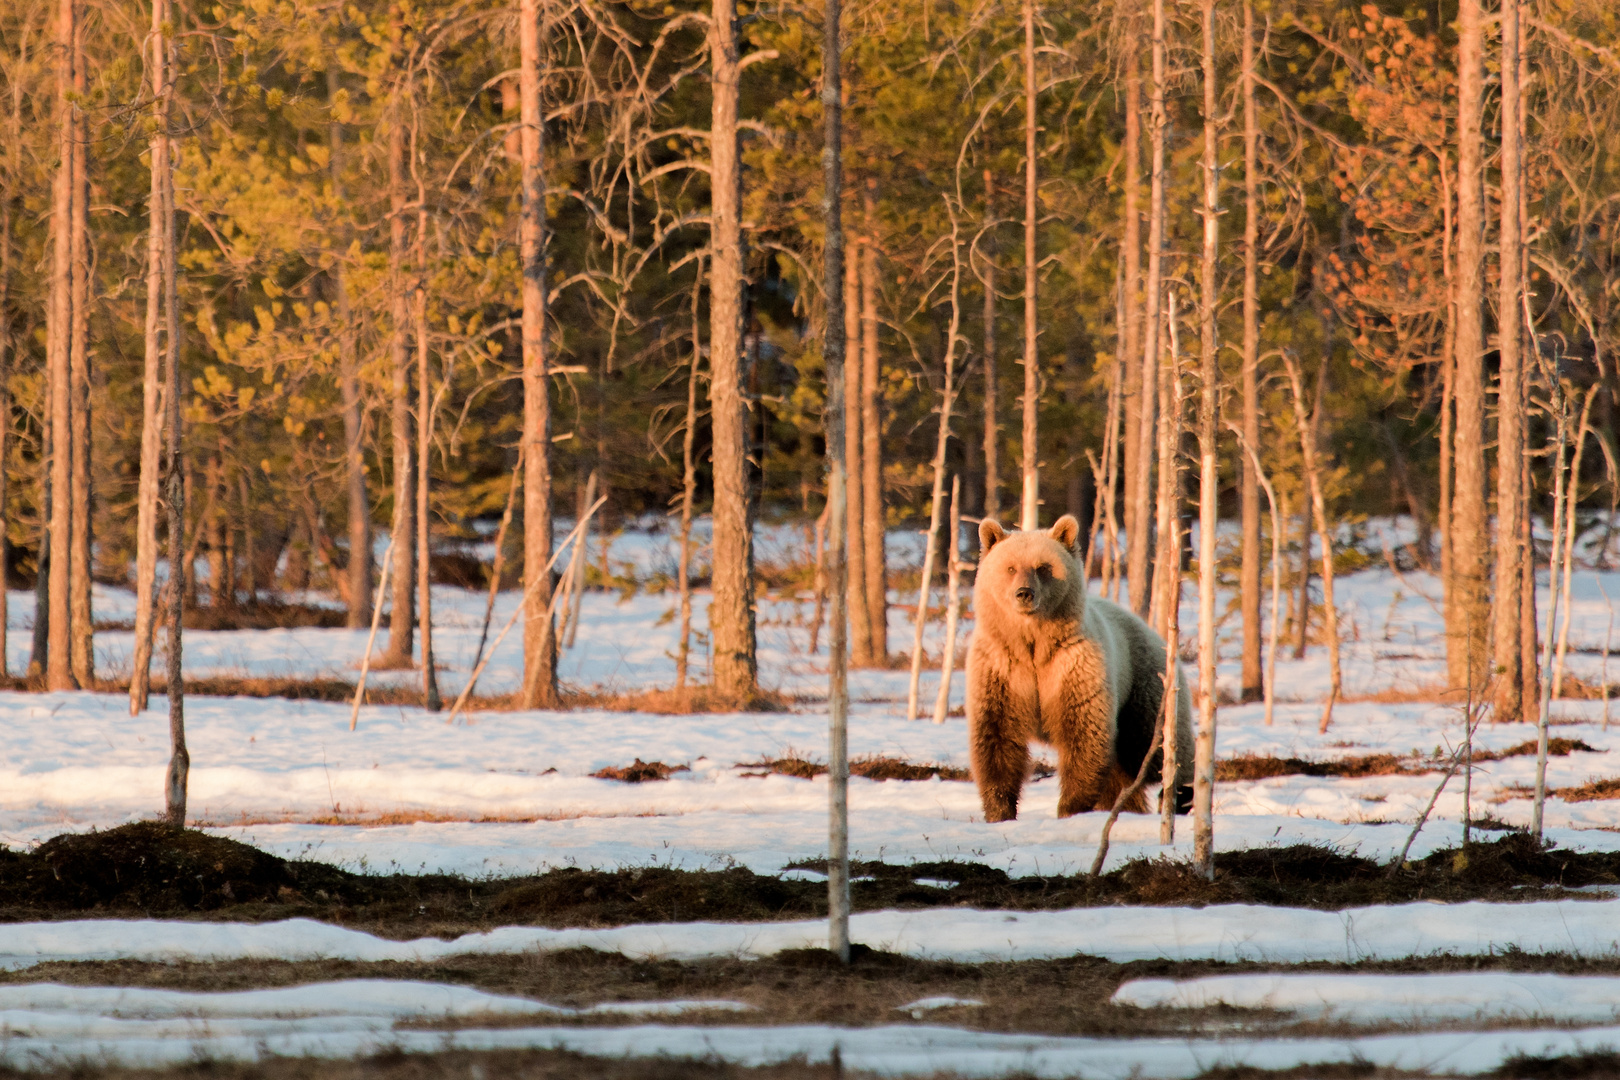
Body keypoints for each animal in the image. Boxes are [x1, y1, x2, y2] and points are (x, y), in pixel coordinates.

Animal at [965, 514, 1198, 819]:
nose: (1024, 593)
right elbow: (996, 738)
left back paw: (1179, 795)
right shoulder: (1001, 669)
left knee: (1155, 745)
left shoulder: (1075, 667)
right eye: (1011, 567)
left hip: (1143, 686)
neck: (1034, 645)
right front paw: (999, 810)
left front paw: (1070, 807)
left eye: (1043, 567)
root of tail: (1153, 631)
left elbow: (1083, 734)